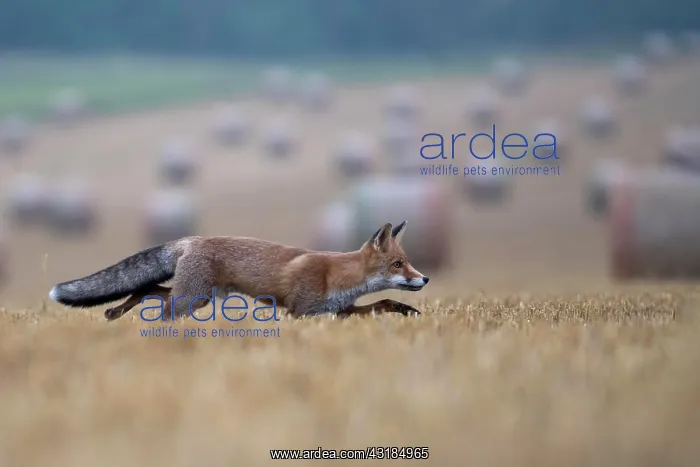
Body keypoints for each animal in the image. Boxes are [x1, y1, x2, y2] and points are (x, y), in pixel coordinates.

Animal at [48, 221, 429, 320]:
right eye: (398, 264)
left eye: (407, 261)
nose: (425, 278)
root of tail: (192, 239)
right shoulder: (302, 312)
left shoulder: (339, 312)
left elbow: (382, 304)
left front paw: (406, 310)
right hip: (190, 300)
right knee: (158, 307)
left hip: (197, 297)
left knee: (146, 290)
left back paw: (115, 311)